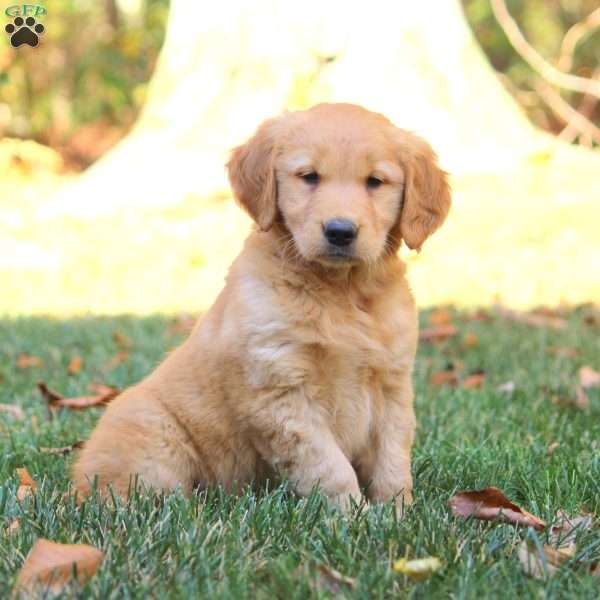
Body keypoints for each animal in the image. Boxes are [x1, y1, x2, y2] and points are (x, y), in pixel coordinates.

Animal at [72, 103, 450, 510]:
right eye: (309, 176)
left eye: (375, 182)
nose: (340, 231)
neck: (341, 291)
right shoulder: (279, 389)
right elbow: (329, 466)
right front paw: (355, 513)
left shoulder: (392, 385)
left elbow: (393, 459)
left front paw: (395, 511)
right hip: (152, 440)